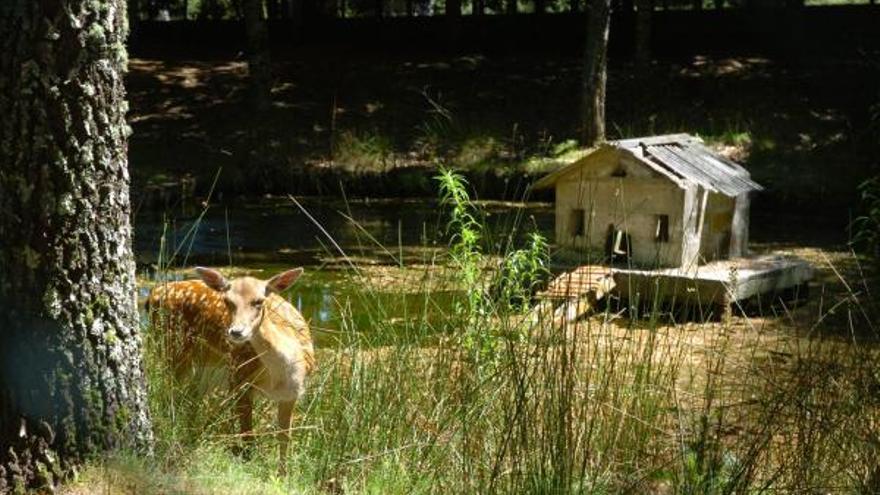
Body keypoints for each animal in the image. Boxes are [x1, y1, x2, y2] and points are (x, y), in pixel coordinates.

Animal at [148, 268, 316, 472]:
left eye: (259, 301)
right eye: (227, 301)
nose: (236, 332)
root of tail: (153, 293)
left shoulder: (291, 394)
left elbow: (284, 439)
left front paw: (284, 475)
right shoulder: (239, 380)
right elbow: (248, 437)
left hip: (201, 370)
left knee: (189, 401)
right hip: (170, 350)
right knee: (167, 395)